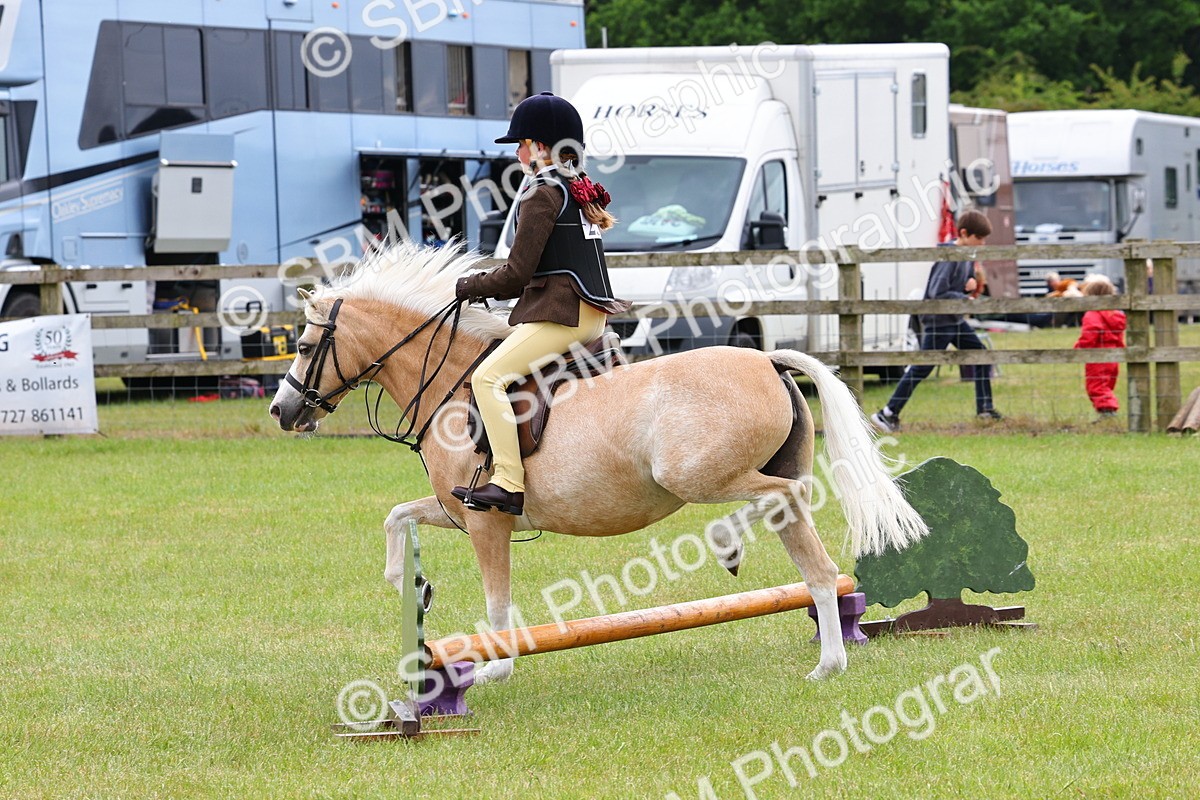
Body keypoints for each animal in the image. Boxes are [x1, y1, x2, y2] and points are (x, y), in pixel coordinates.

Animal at [269, 242, 928, 682]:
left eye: (303, 345)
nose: (282, 410)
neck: (450, 386)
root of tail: (766, 359)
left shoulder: (485, 518)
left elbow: (496, 596)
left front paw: (494, 668)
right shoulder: (456, 509)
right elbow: (398, 515)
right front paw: (409, 582)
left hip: (695, 475)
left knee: (780, 498)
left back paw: (727, 546)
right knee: (813, 559)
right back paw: (828, 663)